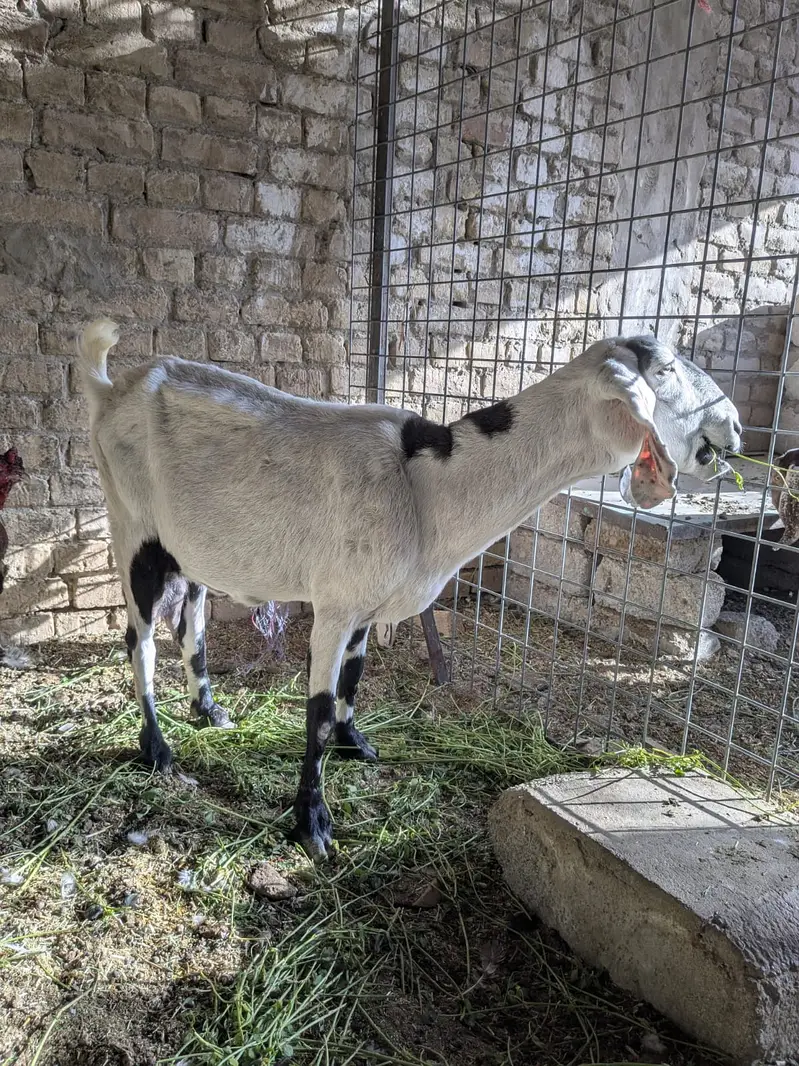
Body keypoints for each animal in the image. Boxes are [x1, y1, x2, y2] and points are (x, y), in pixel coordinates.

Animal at [76, 320, 742, 859]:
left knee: (189, 621)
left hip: (190, 545)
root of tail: (109, 388)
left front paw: (356, 745)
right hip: (131, 524)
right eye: (665, 369)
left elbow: (354, 677)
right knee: (138, 638)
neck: (426, 486)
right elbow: (318, 712)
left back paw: (208, 709)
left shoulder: (366, 604)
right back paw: (157, 749)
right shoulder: (335, 603)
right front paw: (312, 822)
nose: (733, 426)